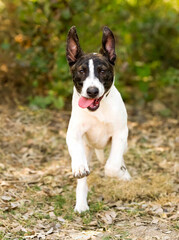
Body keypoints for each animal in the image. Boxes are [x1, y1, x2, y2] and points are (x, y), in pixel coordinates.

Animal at [65, 25, 130, 214]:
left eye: (102, 71)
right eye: (81, 71)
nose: (92, 91)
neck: (98, 110)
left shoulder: (120, 133)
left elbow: (112, 166)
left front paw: (120, 173)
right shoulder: (73, 134)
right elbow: (78, 159)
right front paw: (79, 167)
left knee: (118, 157)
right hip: (87, 148)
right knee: (82, 181)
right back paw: (81, 204)